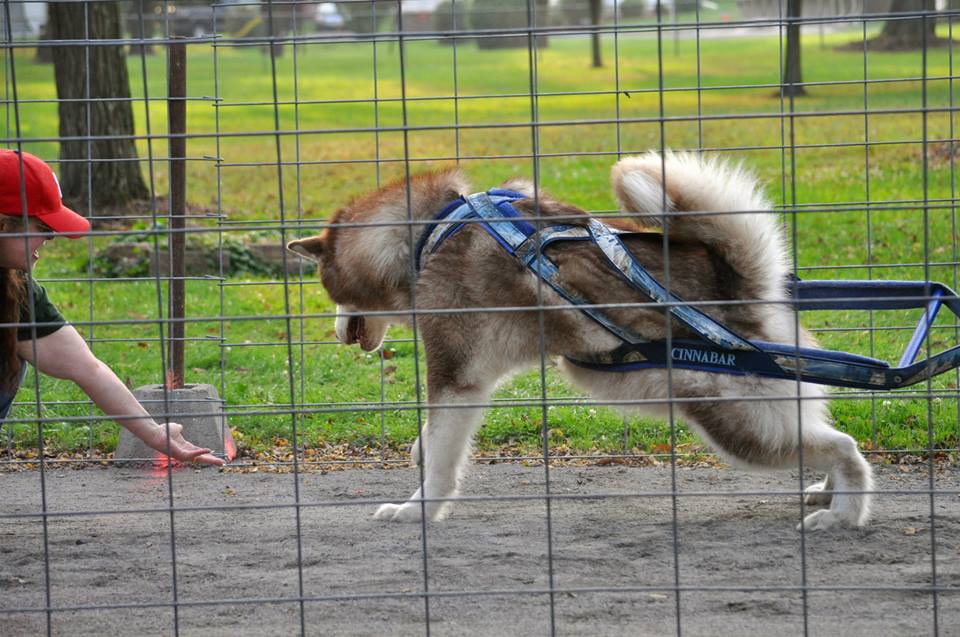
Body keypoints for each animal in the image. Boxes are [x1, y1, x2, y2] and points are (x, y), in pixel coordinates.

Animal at [288, 152, 872, 528]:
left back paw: (844, 513)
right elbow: (431, 441)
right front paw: (417, 453)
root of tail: (745, 286)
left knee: (844, 447)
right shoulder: (471, 381)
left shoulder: (455, 377)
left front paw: (417, 510)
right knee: (821, 435)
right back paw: (824, 494)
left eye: (326, 287)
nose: (337, 333)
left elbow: (440, 458)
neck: (432, 230)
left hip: (736, 425)